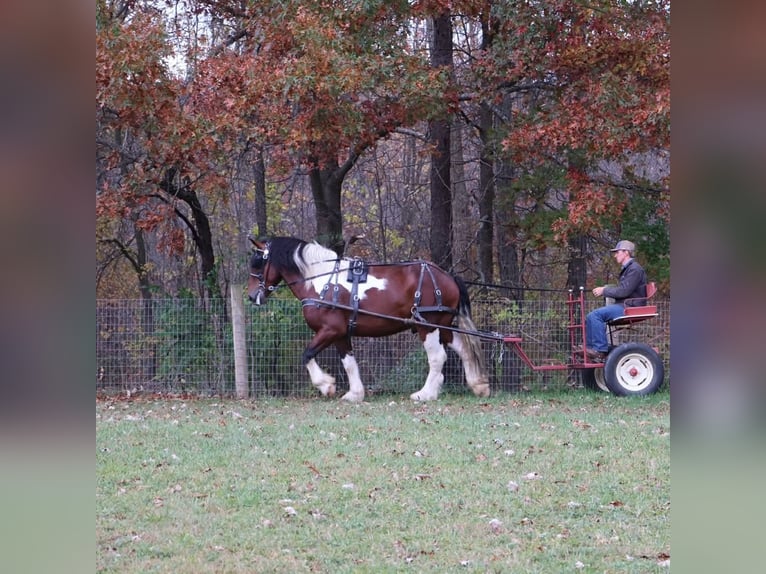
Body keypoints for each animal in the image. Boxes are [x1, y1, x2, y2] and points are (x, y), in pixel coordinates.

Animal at [247, 236, 490, 402]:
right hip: (442, 326)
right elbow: (349, 363)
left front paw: (326, 385)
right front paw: (354, 394)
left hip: (427, 326)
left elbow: (306, 355)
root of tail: (447, 276)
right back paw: (477, 385)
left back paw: (425, 393)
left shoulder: (330, 330)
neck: (321, 281)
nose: (251, 296)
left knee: (437, 357)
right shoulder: (341, 334)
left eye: (258, 263)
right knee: (462, 349)